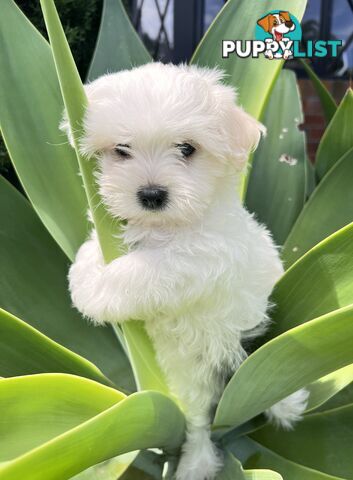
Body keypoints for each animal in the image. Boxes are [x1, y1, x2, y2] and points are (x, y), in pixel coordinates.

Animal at [63, 62, 308, 480]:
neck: (166, 227)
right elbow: (97, 244)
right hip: (187, 377)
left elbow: (147, 269)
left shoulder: (205, 257)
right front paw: (84, 271)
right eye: (122, 150)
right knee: (196, 418)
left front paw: (96, 291)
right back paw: (196, 461)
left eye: (187, 149)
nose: (151, 194)